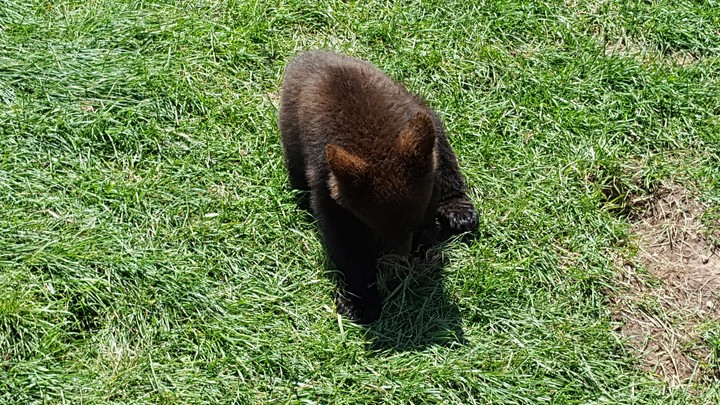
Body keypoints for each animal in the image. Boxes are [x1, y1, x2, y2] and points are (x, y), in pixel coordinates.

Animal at [279, 50, 478, 324]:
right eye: (383, 230)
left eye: (412, 225)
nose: (407, 255)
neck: (373, 146)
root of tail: (309, 54)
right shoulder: (326, 189)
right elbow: (347, 244)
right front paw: (361, 301)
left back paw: (459, 212)